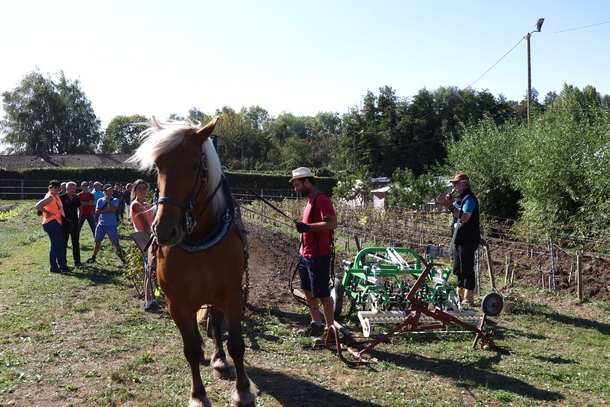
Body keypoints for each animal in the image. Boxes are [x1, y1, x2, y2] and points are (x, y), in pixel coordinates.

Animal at [131, 116, 256, 406]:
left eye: (195, 165)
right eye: (158, 166)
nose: (165, 230)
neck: (199, 242)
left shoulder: (232, 295)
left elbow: (236, 343)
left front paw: (243, 390)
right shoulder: (175, 303)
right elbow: (189, 349)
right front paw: (198, 394)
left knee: (216, 323)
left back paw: (219, 359)